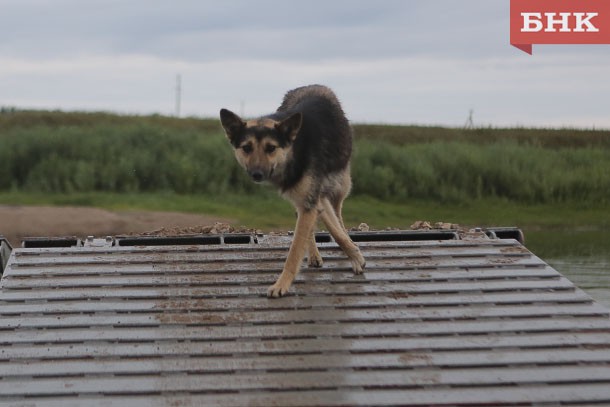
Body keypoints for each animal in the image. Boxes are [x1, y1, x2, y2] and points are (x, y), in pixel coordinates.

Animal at [218, 84, 364, 298]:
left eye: (271, 148)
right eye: (247, 147)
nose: (256, 174)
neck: (295, 150)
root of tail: (312, 85)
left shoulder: (313, 198)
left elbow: (298, 249)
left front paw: (282, 285)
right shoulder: (310, 199)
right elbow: (317, 230)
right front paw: (353, 253)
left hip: (339, 187)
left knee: (337, 215)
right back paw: (315, 254)